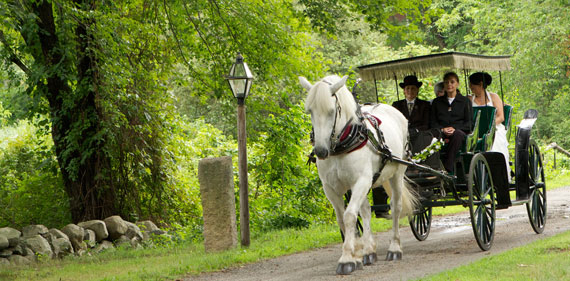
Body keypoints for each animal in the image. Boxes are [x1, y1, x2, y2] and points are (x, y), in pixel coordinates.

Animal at [300, 74, 414, 274]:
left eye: (331, 111)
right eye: (310, 111)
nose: (320, 151)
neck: (340, 146)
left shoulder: (361, 181)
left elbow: (350, 216)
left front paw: (346, 259)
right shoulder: (331, 188)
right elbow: (342, 218)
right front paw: (356, 254)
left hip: (397, 173)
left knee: (396, 207)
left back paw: (394, 248)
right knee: (367, 211)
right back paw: (369, 251)